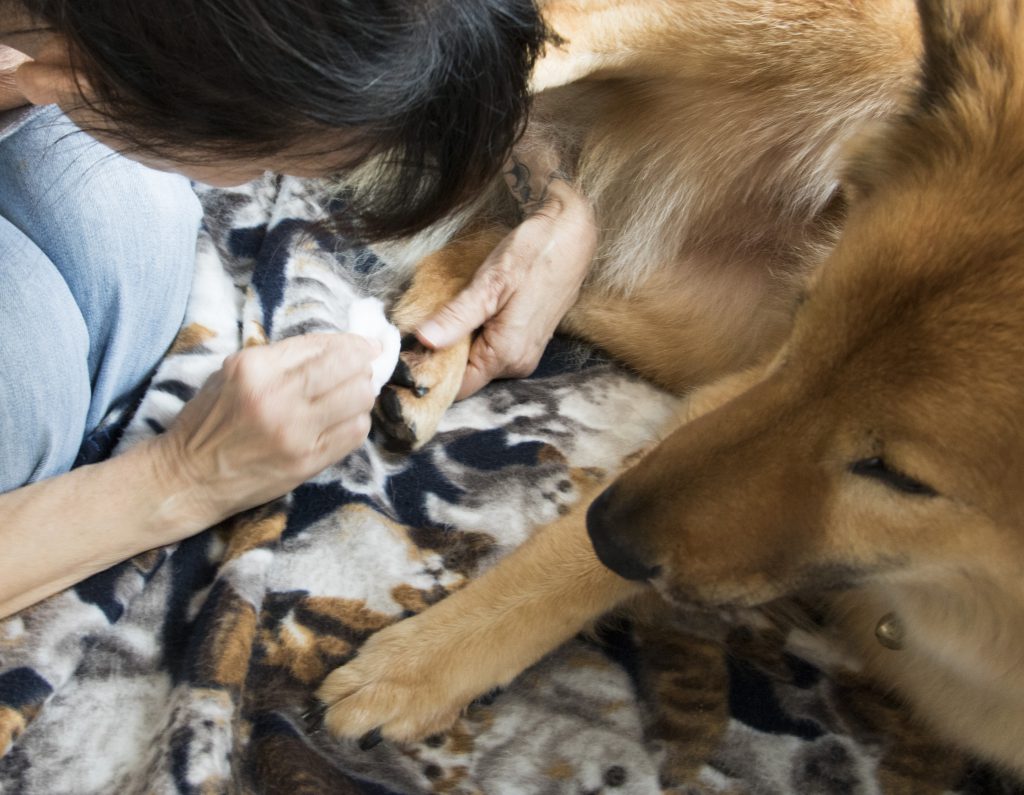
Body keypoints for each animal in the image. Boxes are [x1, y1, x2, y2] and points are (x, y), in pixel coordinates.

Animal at [317, 0, 1024, 774]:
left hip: (696, 326)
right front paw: (415, 667)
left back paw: (441, 341)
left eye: (900, 477)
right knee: (531, 56)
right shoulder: (739, 396)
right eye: (804, 327)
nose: (604, 524)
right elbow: (565, 567)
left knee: (543, 231)